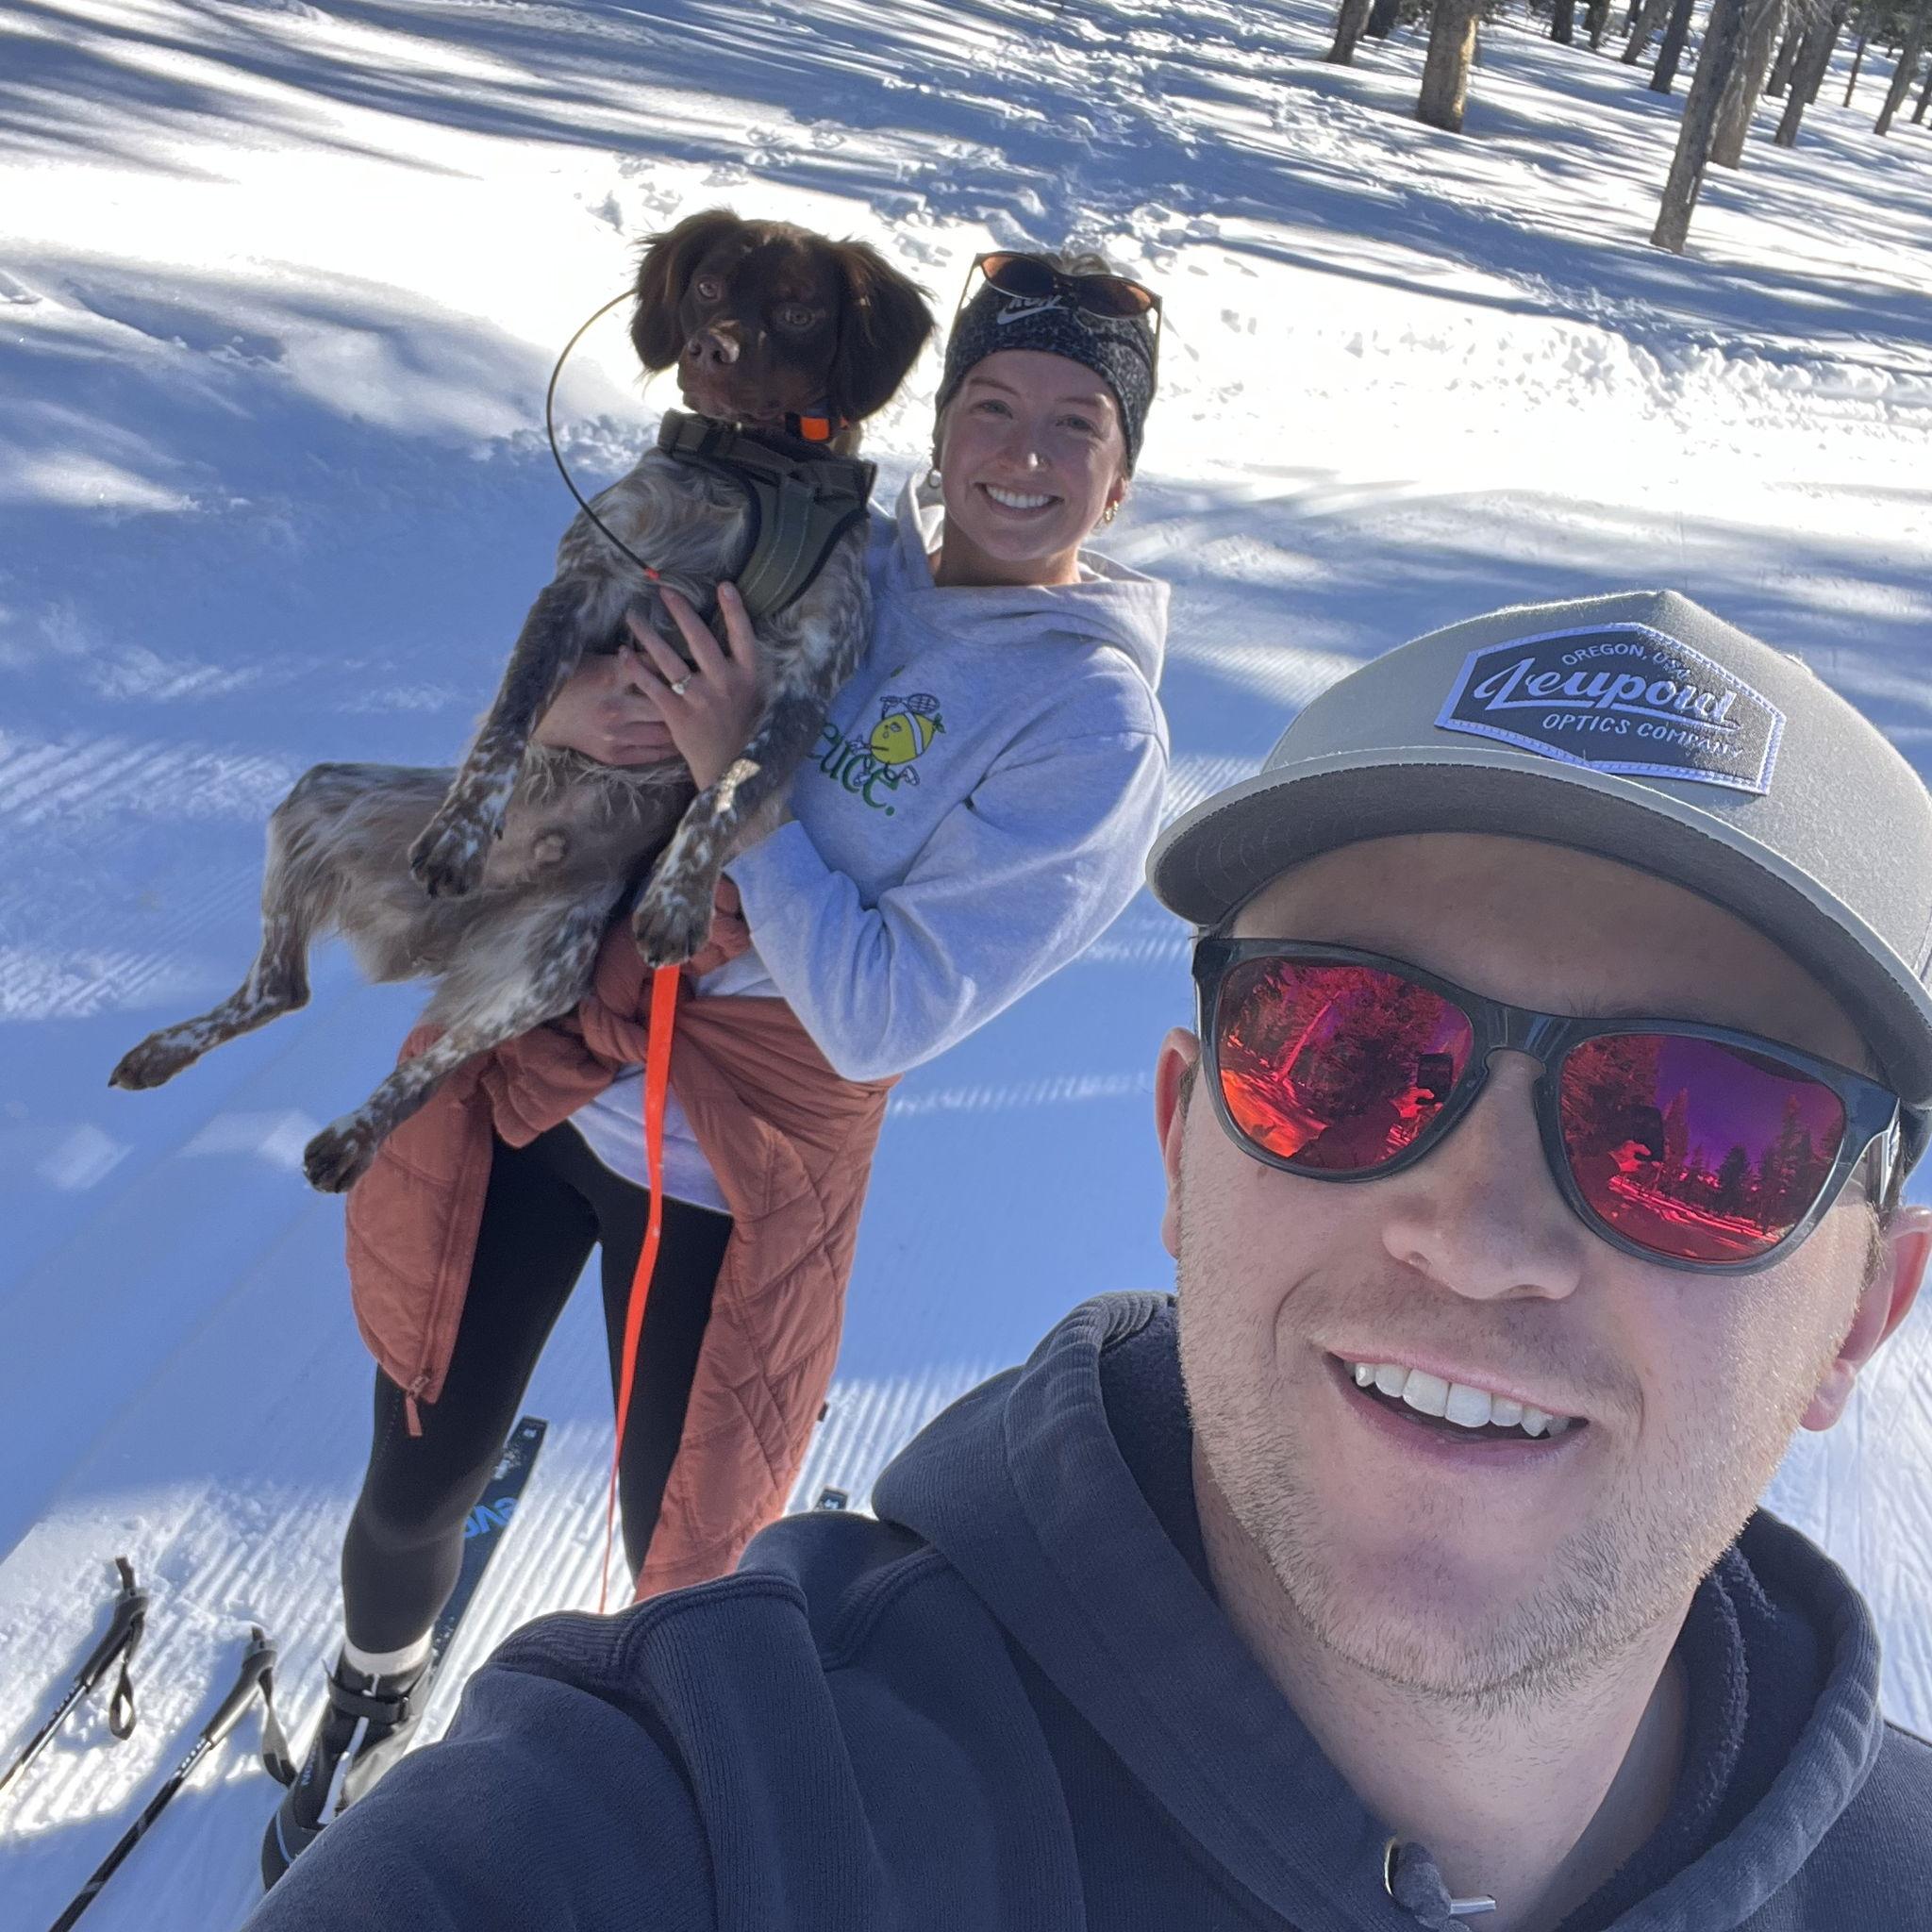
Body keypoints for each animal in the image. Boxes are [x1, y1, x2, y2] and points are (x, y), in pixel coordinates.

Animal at [111, 209, 933, 1192]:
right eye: (707, 286)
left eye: (802, 309)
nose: (710, 348)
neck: (760, 471)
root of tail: (438, 936)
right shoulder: (585, 582)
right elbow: (509, 725)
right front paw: (463, 836)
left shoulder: (807, 674)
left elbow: (725, 791)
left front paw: (678, 898)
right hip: (321, 794)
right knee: (280, 987)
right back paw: (170, 1049)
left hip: (552, 963)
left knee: (412, 1057)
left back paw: (351, 1136)